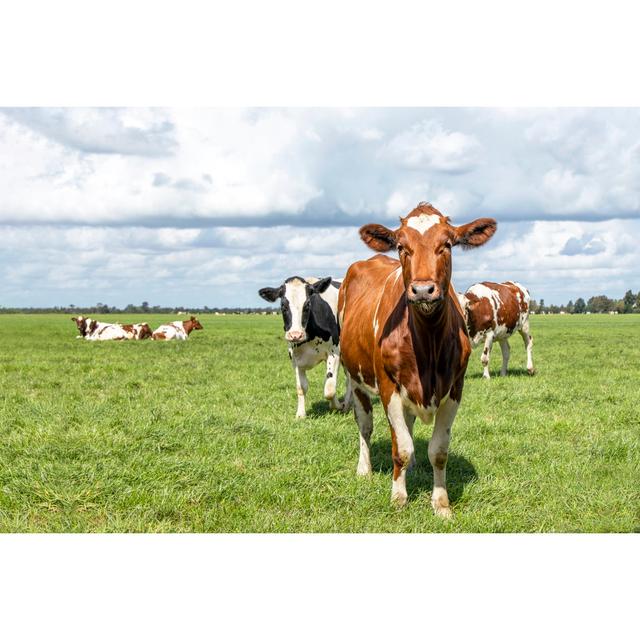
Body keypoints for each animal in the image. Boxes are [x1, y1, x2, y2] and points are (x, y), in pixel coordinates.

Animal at [258, 276, 352, 420]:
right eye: (283, 305)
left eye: (307, 305)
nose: (295, 334)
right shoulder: (295, 359)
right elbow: (301, 387)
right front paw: (301, 414)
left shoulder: (334, 352)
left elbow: (329, 389)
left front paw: (337, 406)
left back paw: (346, 404)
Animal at [338, 202, 498, 516]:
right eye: (402, 247)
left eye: (446, 244)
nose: (423, 290)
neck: (428, 342)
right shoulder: (388, 388)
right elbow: (400, 447)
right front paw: (399, 498)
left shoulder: (455, 388)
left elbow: (438, 450)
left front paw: (441, 503)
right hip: (356, 378)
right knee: (366, 425)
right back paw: (365, 468)